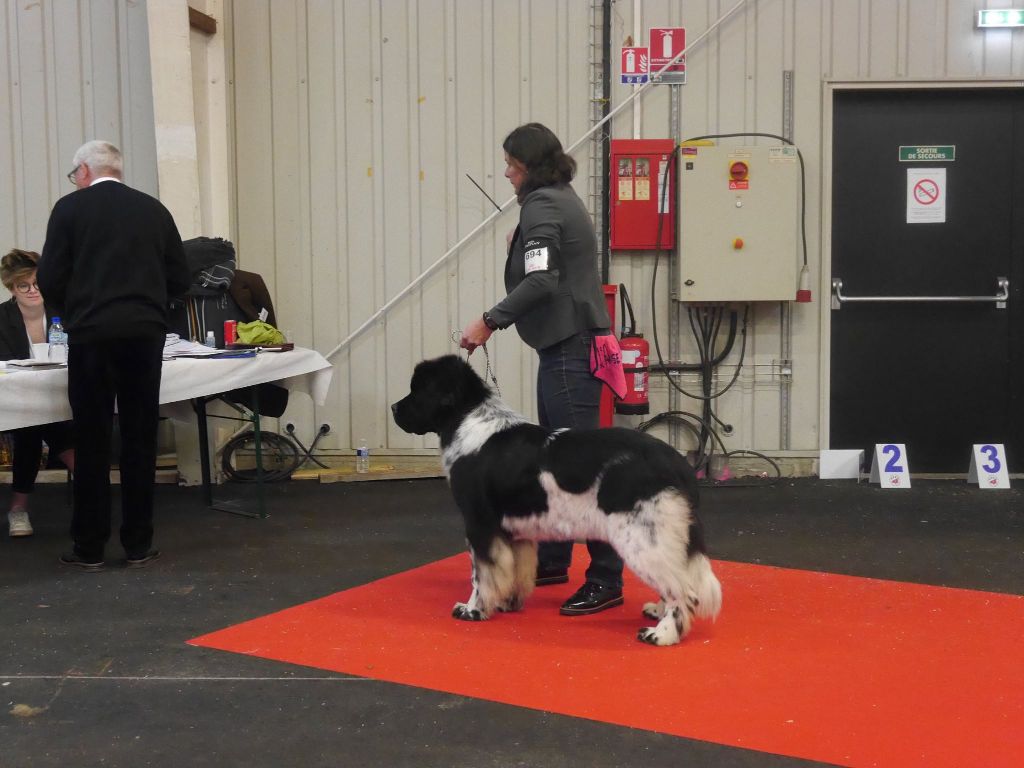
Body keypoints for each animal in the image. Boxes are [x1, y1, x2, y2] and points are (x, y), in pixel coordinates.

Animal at [389, 358, 720, 647]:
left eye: (418, 389)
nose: (393, 407)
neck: (467, 420)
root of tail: (678, 464)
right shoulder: (513, 529)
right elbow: (513, 570)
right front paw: (508, 603)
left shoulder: (480, 523)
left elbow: (481, 574)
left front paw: (472, 610)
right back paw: (657, 612)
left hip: (642, 536)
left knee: (683, 591)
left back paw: (661, 634)